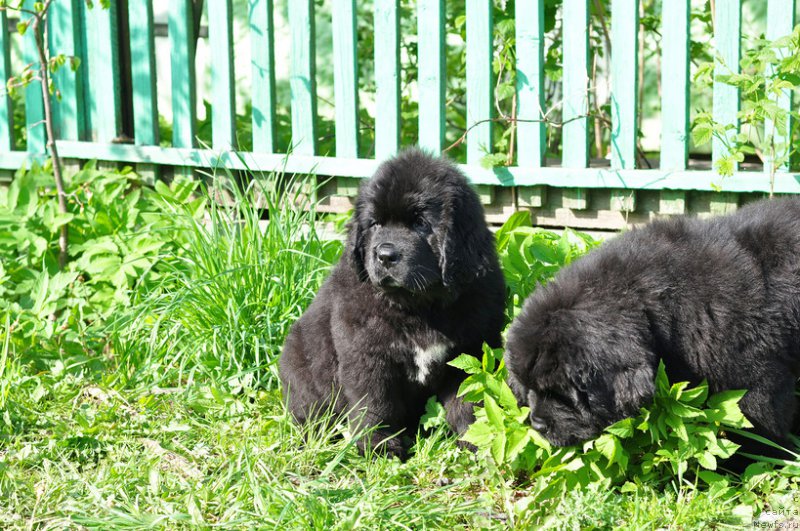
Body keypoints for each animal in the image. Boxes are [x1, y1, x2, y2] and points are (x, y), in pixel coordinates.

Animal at [282, 148, 506, 460]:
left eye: (421, 223)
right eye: (375, 223)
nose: (385, 255)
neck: (420, 306)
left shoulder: (471, 349)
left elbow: (468, 399)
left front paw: (476, 440)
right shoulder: (367, 356)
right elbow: (376, 404)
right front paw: (380, 448)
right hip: (303, 368)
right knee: (310, 412)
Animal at [506, 197, 800, 460]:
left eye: (559, 391)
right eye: (528, 387)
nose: (537, 424)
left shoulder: (757, 380)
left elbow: (756, 423)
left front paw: (754, 461)